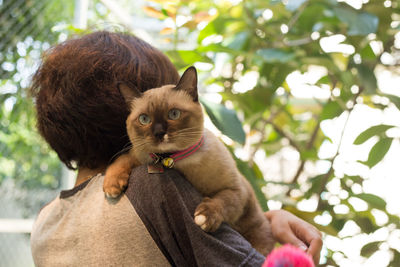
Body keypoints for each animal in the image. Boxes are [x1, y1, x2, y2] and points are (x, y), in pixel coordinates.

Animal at [103, 66, 276, 255]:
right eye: (144, 119)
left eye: (174, 114)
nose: (159, 133)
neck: (174, 160)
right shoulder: (140, 154)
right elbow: (122, 159)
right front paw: (111, 187)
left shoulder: (236, 190)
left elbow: (223, 200)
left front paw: (204, 218)